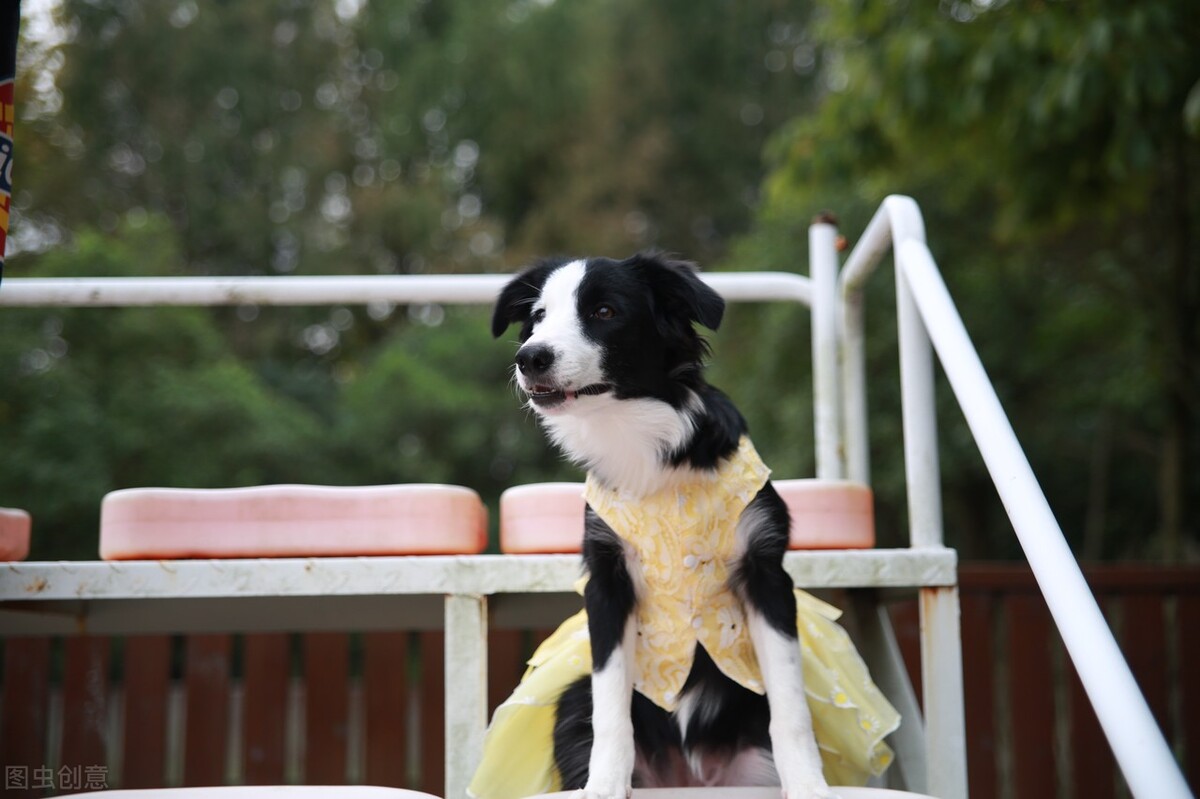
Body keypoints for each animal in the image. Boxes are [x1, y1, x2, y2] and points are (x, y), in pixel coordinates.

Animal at [492, 251, 840, 791]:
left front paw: (808, 785)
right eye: (539, 316)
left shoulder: (766, 575)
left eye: (605, 311)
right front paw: (604, 787)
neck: (644, 444)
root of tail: (690, 776)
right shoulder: (607, 585)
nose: (529, 357)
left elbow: (790, 703)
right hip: (570, 699)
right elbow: (611, 706)